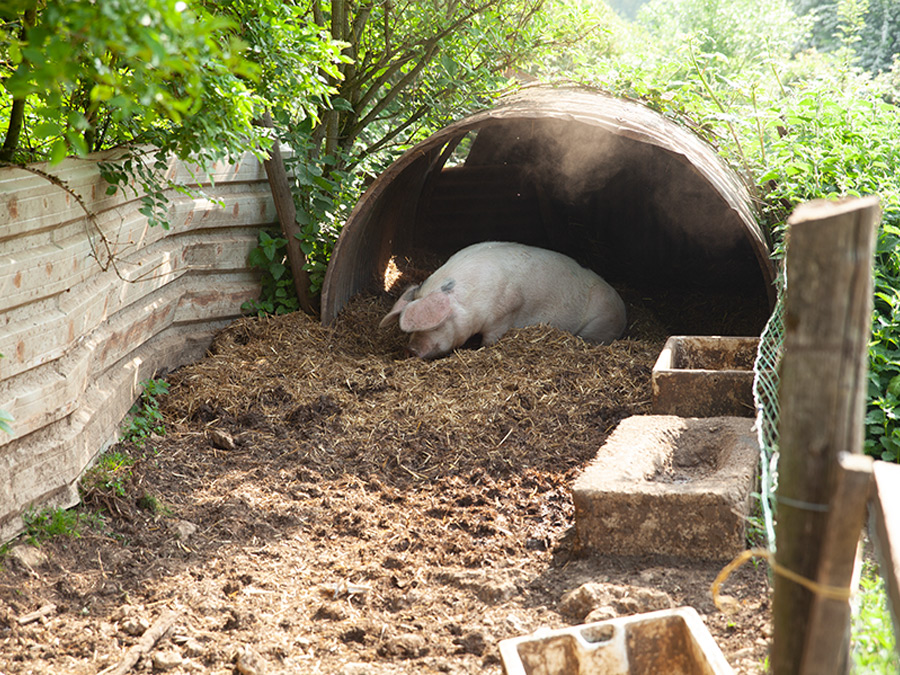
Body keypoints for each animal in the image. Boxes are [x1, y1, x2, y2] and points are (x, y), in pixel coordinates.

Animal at [380, 242, 624, 360]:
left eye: (436, 325)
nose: (409, 350)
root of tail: (622, 308)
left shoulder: (505, 314)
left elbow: (490, 340)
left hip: (601, 322)